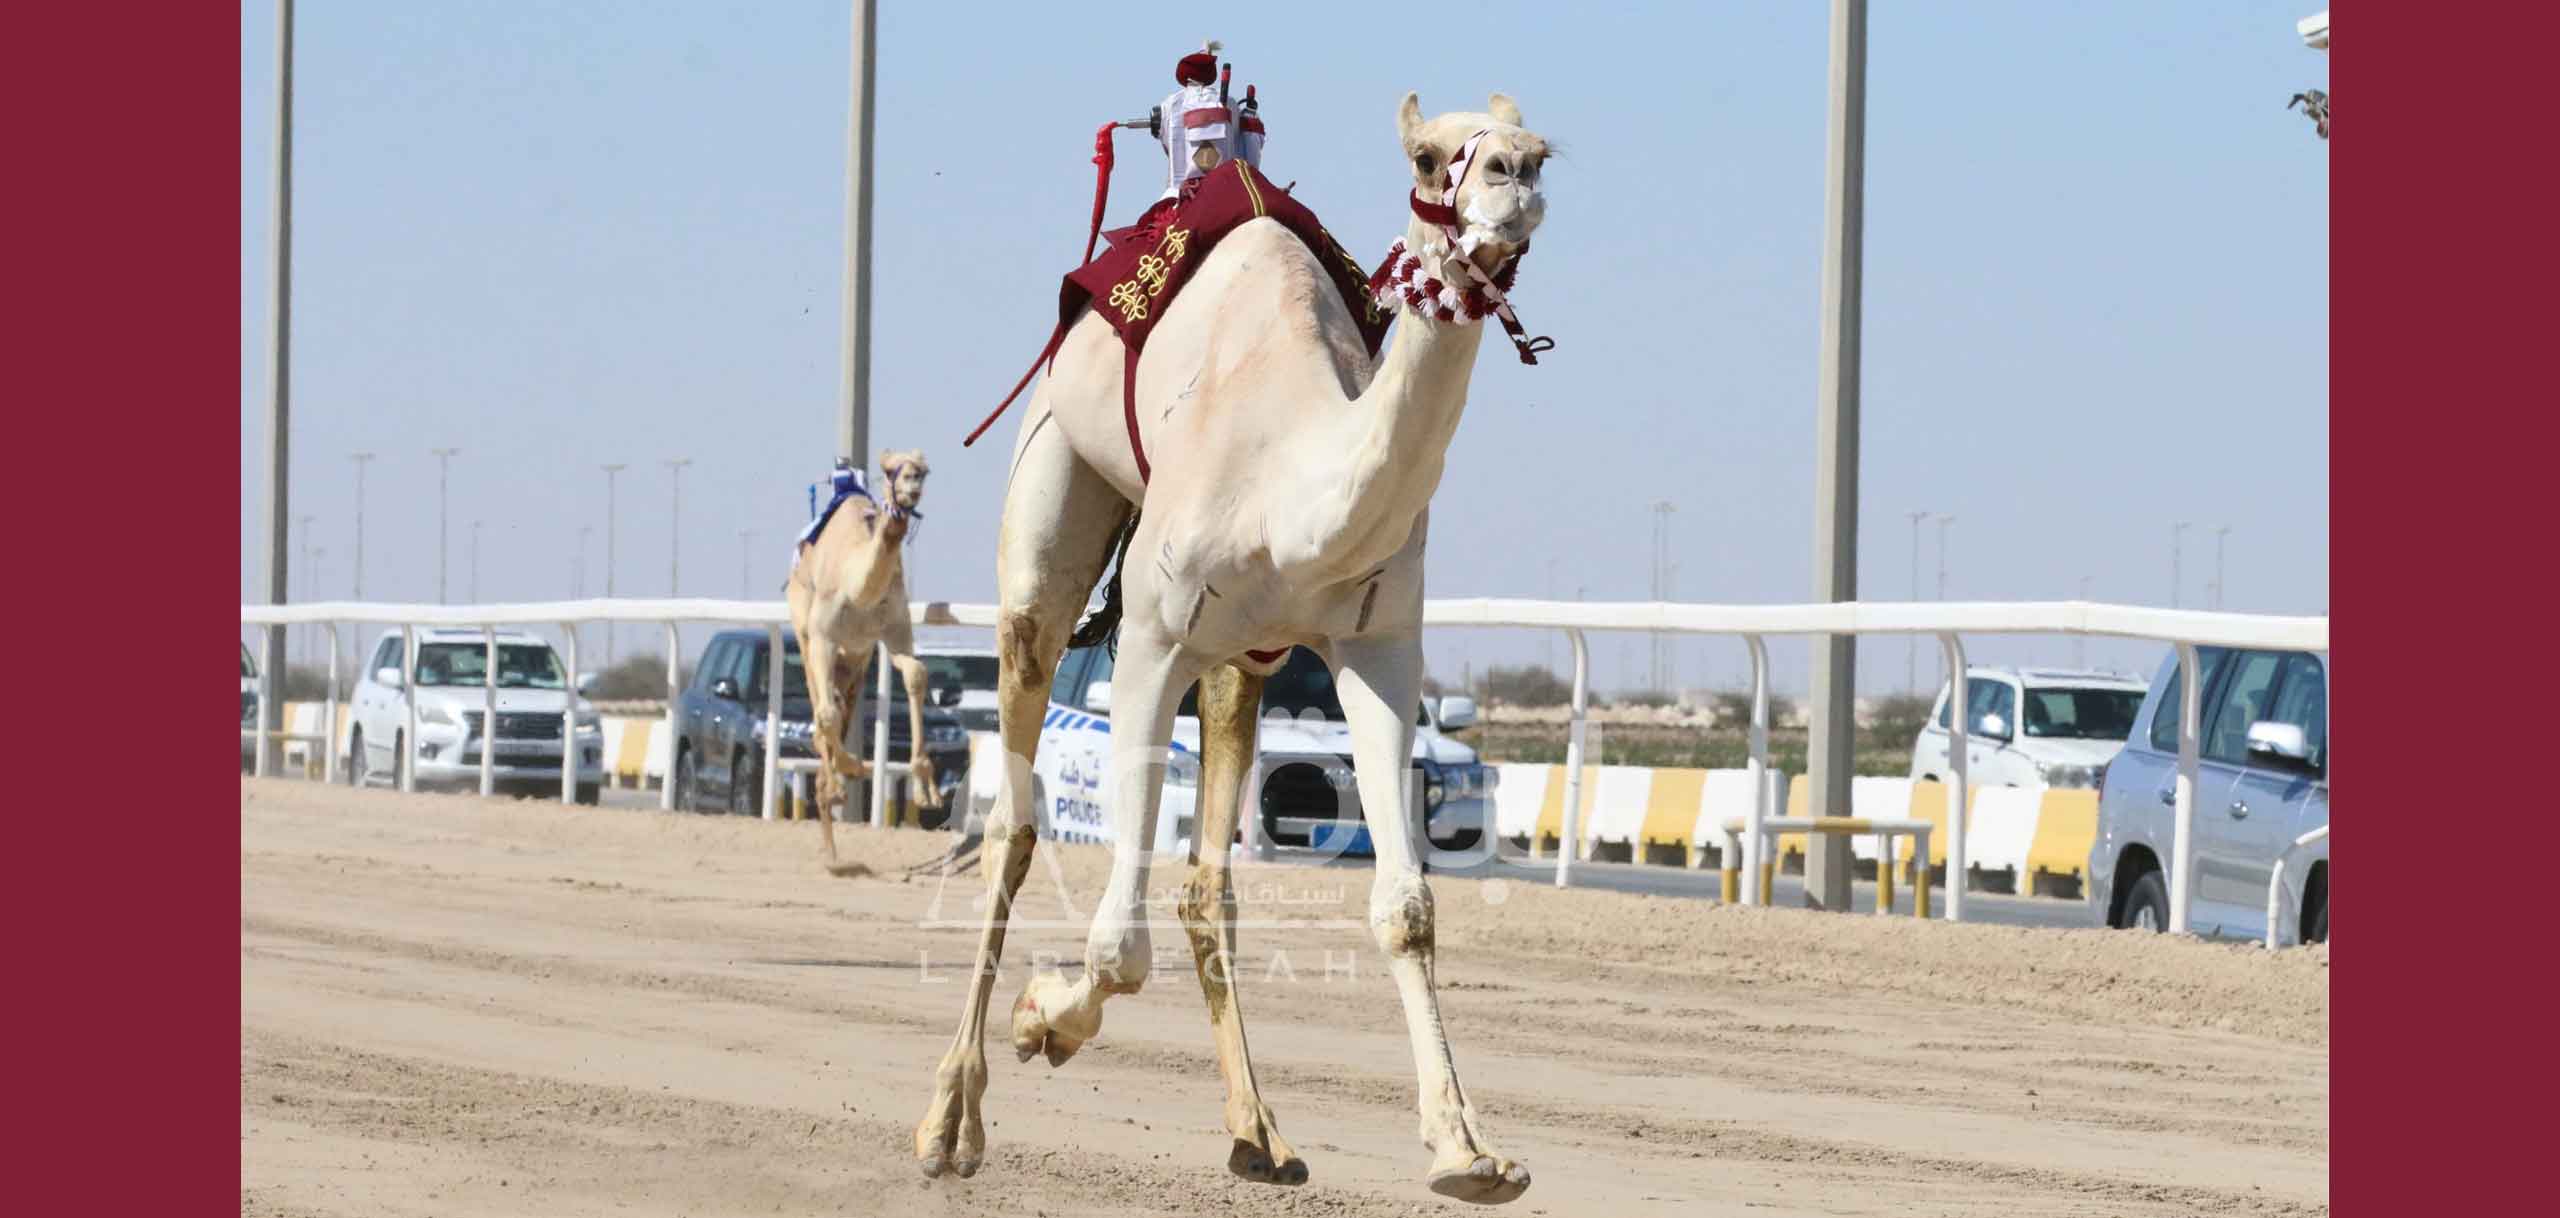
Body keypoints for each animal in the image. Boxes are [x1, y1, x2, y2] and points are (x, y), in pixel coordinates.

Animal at [783, 447, 947, 875]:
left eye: (924, 471)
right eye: (891, 471)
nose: (911, 486)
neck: (859, 586)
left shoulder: (892, 632)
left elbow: (917, 674)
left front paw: (925, 787)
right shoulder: (823, 636)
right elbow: (825, 715)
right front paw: (847, 776)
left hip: (856, 657)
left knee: (841, 703)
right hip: (806, 632)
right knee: (822, 709)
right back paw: (832, 797)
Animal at [926, 90, 1556, 1202]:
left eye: (1542, 151)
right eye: (1431, 155)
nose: (1513, 176)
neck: (1287, 477)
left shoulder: (1377, 646)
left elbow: (1406, 906)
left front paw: (1467, 1151)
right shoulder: (1149, 638)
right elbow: (1116, 946)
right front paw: (1044, 1021)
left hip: (1239, 662)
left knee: (1206, 882)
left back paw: (1259, 1131)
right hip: (1049, 511)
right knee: (1013, 815)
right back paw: (953, 1121)